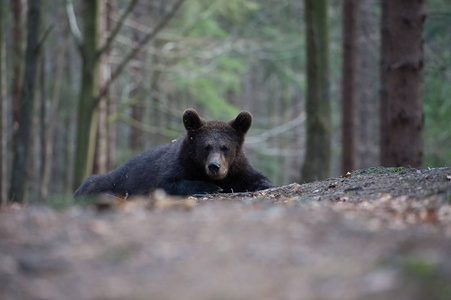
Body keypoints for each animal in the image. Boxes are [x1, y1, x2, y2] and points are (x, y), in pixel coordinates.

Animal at [75, 108, 272, 197]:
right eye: (206, 146)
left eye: (226, 147)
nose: (214, 166)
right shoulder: (179, 165)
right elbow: (168, 183)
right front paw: (211, 187)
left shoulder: (238, 167)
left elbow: (256, 178)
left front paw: (261, 184)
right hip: (113, 180)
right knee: (95, 183)